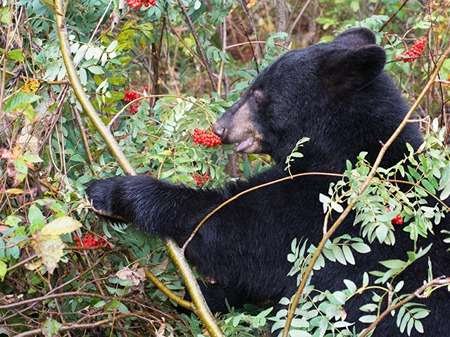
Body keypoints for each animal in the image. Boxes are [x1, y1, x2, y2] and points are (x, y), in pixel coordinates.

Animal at [86, 27, 448, 334]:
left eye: (259, 94)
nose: (220, 126)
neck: (344, 144)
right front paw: (197, 297)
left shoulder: (319, 207)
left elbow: (235, 233)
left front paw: (111, 192)